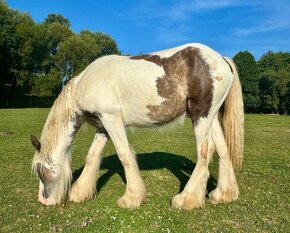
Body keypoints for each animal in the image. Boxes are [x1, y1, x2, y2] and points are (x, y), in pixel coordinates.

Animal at [30, 42, 244, 210]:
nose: (43, 200)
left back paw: (186, 200)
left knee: (205, 152)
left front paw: (132, 198)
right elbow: (92, 156)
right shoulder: (103, 126)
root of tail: (221, 59)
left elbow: (124, 155)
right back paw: (223, 195)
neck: (86, 83)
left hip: (201, 116)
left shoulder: (112, 120)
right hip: (211, 117)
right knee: (222, 150)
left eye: (39, 170)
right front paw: (80, 192)